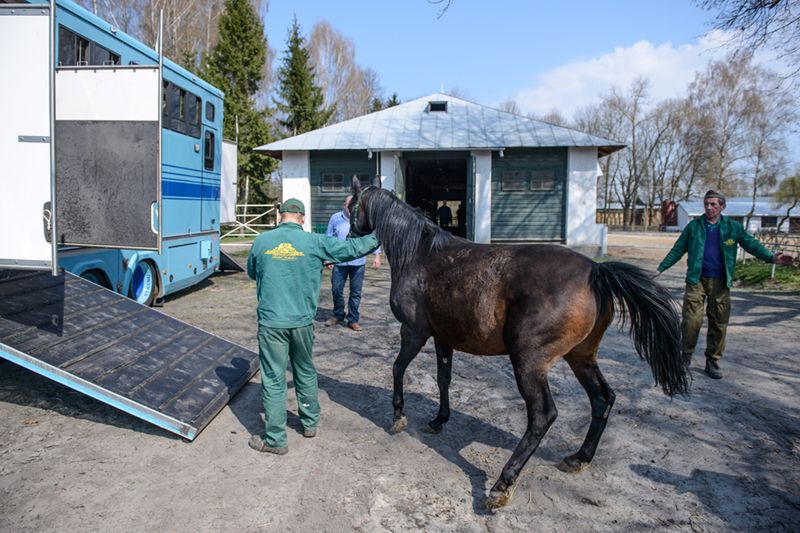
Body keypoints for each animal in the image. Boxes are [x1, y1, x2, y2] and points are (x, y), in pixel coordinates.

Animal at [346, 182, 692, 508]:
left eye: (351, 205)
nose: (349, 235)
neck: (419, 254)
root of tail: (596, 270)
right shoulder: (443, 337)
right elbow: (444, 379)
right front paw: (438, 420)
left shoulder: (414, 332)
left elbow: (397, 369)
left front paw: (398, 417)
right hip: (581, 357)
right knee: (602, 399)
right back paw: (579, 458)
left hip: (528, 362)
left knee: (543, 416)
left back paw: (503, 484)